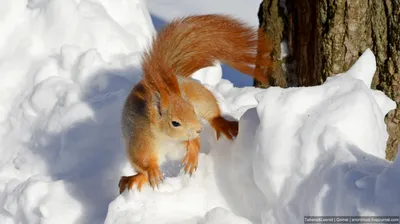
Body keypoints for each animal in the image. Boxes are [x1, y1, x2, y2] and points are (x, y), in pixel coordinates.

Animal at [118, 14, 272, 192]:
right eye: (175, 123)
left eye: (191, 109)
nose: (199, 129)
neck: (167, 139)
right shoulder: (140, 142)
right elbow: (143, 163)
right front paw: (151, 172)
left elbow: (194, 143)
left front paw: (192, 155)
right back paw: (133, 179)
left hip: (201, 98)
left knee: (213, 114)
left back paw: (224, 125)